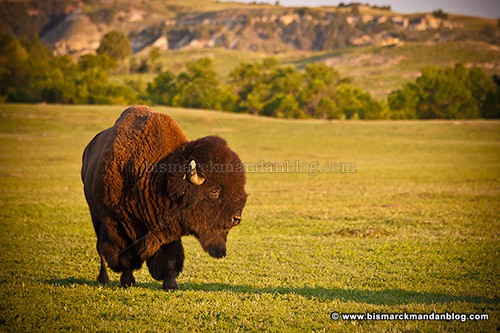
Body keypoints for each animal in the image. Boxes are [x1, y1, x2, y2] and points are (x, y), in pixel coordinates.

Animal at [82, 105, 248, 290]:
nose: (236, 218)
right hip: (96, 217)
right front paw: (127, 281)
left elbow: (170, 258)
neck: (157, 177)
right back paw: (103, 278)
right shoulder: (116, 224)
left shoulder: (168, 227)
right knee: (101, 250)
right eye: (213, 191)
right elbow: (125, 258)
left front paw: (170, 285)